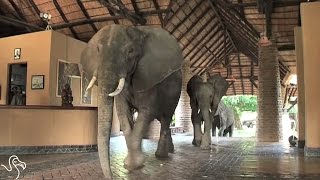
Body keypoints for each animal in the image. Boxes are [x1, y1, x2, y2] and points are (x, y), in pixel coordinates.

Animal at [80, 24, 182, 178]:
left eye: (130, 52)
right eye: (98, 50)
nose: (111, 177)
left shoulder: (149, 78)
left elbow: (146, 112)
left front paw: (135, 164)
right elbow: (123, 113)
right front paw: (130, 164)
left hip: (175, 92)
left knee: (166, 118)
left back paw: (162, 155)